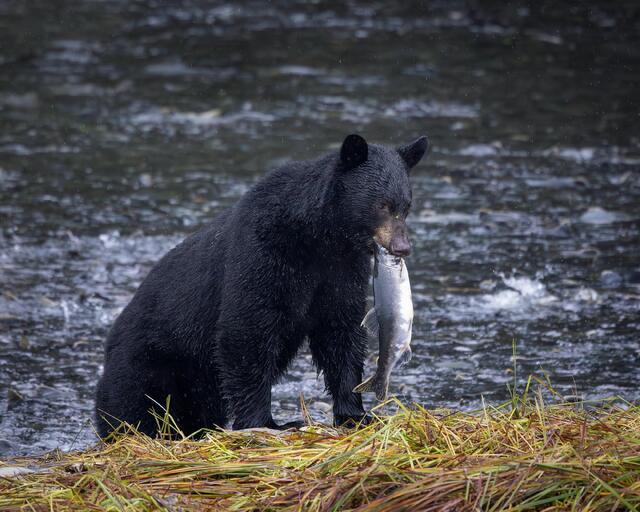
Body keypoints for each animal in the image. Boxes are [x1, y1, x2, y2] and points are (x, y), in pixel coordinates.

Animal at [95, 133, 428, 437]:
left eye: (406, 206)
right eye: (382, 205)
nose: (402, 247)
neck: (319, 237)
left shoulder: (341, 272)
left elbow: (340, 331)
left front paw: (355, 414)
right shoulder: (263, 254)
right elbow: (246, 330)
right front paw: (268, 423)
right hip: (148, 366)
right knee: (135, 408)